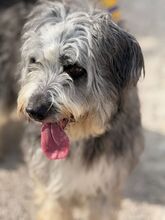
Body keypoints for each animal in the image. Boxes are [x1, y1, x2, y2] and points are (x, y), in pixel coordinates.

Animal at [17, 0, 145, 219]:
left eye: (75, 69)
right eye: (35, 61)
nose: (33, 110)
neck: (80, 139)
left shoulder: (105, 184)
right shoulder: (53, 185)